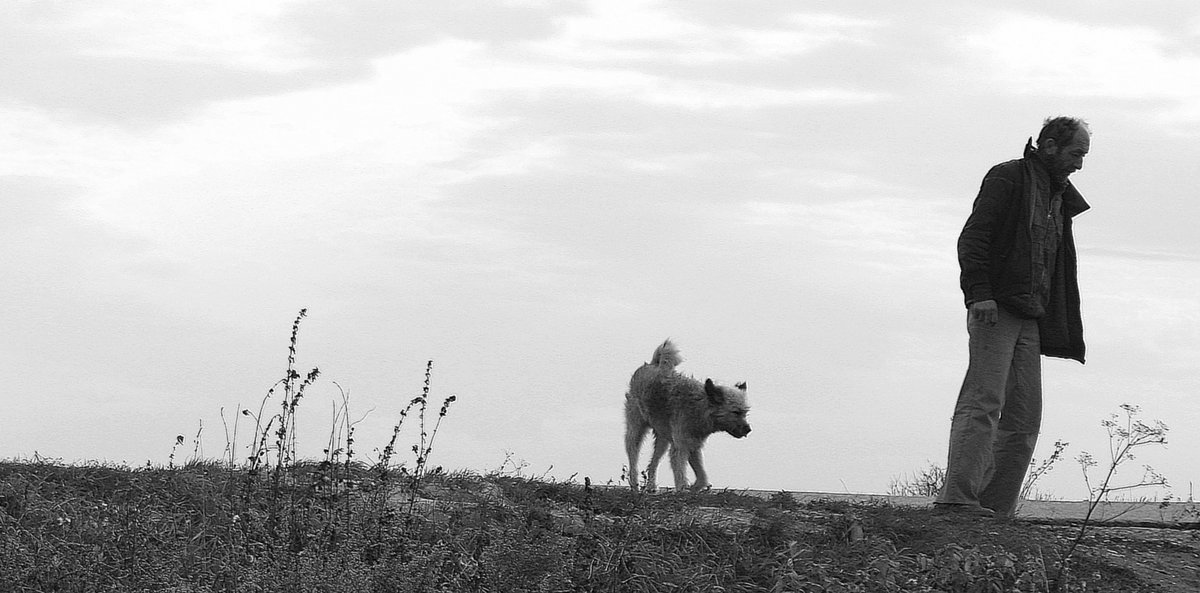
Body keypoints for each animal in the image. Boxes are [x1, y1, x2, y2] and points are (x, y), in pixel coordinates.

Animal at [628, 338, 748, 492]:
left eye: (745, 412)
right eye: (736, 412)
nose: (748, 429)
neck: (700, 407)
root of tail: (652, 364)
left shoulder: (693, 446)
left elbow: (702, 477)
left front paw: (694, 488)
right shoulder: (680, 447)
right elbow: (680, 473)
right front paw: (683, 489)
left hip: (663, 439)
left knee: (653, 463)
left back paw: (651, 487)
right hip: (635, 430)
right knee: (633, 458)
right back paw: (635, 486)